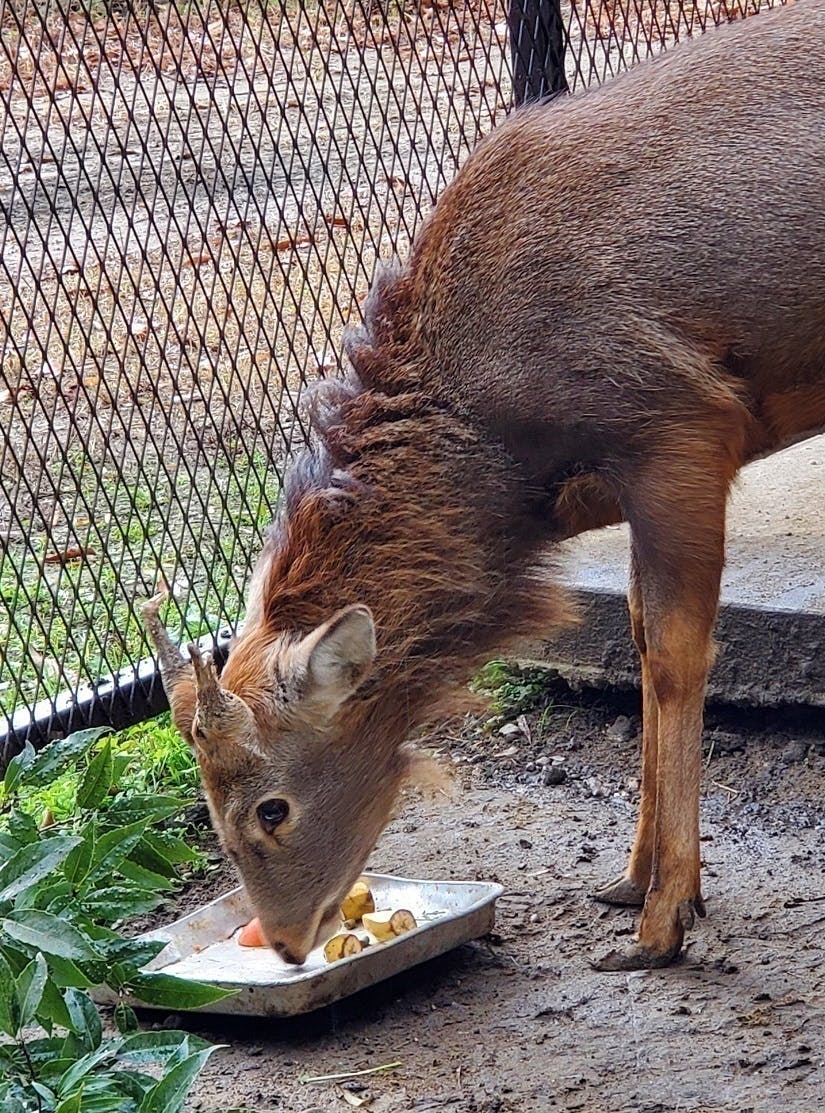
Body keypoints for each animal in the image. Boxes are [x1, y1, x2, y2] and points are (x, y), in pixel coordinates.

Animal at [143, 0, 823, 970]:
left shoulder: (682, 426)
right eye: (205, 802)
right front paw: (630, 879)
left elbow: (671, 656)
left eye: (272, 807)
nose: (284, 942)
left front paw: (664, 917)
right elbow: (636, 630)